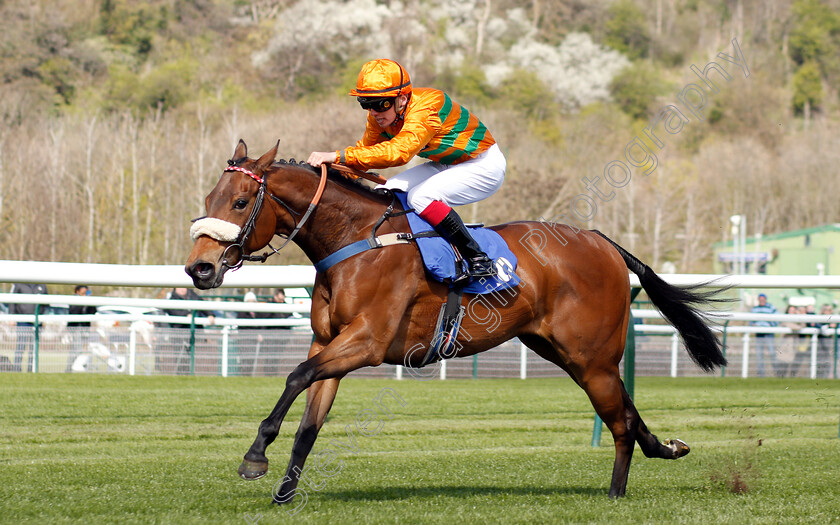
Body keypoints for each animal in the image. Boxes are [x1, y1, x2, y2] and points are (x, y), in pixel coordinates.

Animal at [185, 140, 728, 504]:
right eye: (209, 199)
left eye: (239, 202)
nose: (199, 269)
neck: (355, 239)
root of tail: (605, 243)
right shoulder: (330, 344)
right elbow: (309, 422)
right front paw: (284, 492)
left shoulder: (366, 342)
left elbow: (295, 377)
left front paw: (255, 457)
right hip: (567, 353)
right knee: (628, 414)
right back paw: (666, 449)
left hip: (591, 357)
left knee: (618, 420)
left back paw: (616, 493)